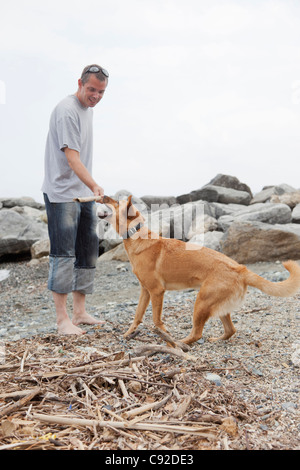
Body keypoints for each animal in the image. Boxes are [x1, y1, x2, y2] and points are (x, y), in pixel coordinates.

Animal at [98, 196, 300, 346]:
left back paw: (179, 343)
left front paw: (164, 333)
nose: (103, 195)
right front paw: (127, 334)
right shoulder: (145, 292)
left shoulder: (156, 291)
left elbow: (156, 320)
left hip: (201, 302)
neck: (136, 234)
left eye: (115, 201)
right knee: (230, 330)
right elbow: (137, 316)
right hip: (215, 305)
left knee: (197, 333)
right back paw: (215, 339)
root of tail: (240, 268)